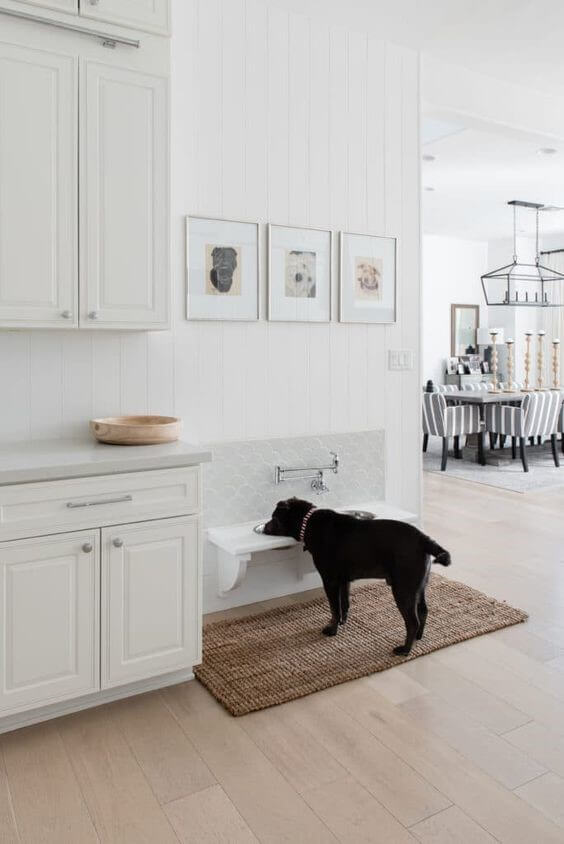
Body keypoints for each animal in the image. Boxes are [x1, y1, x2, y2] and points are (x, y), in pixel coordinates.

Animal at [262, 498, 452, 656]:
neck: (308, 522)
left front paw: (332, 630)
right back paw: (418, 638)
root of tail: (424, 539)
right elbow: (344, 604)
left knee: (413, 621)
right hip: (418, 587)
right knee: (423, 612)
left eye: (274, 517)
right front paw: (342, 622)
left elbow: (334, 608)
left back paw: (405, 649)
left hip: (403, 590)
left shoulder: (330, 581)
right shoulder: (344, 581)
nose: (263, 527)